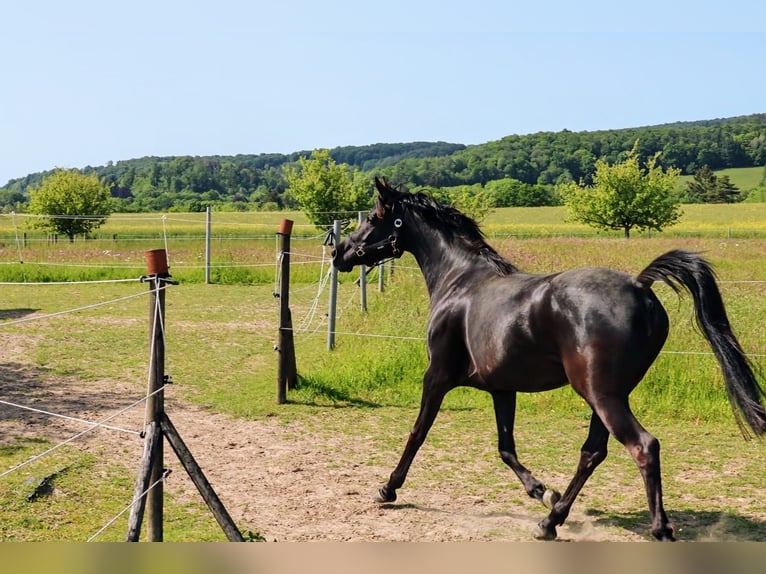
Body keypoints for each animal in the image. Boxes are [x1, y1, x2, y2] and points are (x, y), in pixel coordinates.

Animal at [331, 176, 766, 541]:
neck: (459, 283)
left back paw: (659, 529)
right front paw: (541, 491)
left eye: (374, 218)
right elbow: (505, 447)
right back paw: (550, 520)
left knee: (644, 446)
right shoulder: (501, 388)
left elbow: (417, 433)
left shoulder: (436, 375)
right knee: (593, 452)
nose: (339, 252)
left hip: (601, 395)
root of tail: (641, 286)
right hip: (607, 395)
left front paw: (387, 488)